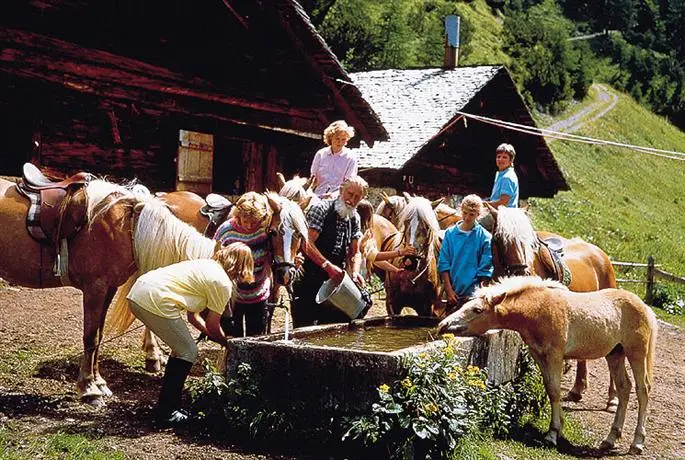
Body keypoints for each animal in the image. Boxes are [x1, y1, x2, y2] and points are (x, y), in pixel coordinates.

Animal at [438, 274, 656, 454]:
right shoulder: (539, 356)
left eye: (477, 310)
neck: (539, 309)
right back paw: (610, 439)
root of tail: (644, 307)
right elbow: (550, 389)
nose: (443, 325)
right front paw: (557, 430)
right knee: (624, 388)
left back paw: (637, 443)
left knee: (642, 389)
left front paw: (552, 434)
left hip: (636, 354)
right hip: (615, 355)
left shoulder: (555, 356)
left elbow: (555, 390)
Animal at [486, 203, 620, 408]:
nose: (521, 273)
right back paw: (577, 390)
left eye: (528, 241)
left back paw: (613, 398)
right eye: (500, 238)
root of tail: (601, 254)